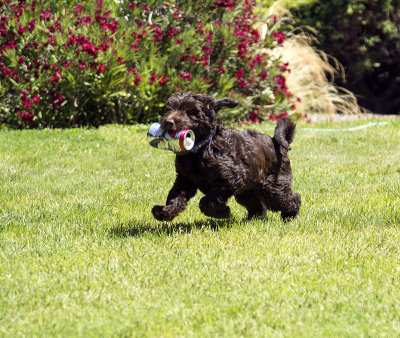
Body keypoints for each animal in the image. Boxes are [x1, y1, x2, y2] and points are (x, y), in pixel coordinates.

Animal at [152, 92, 302, 222]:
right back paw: (253, 219)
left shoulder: (232, 178)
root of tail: (276, 142)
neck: (203, 148)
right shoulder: (185, 179)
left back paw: (289, 217)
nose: (168, 122)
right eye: (170, 108)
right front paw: (165, 211)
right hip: (247, 191)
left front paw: (222, 212)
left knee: (291, 198)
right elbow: (175, 195)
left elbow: (208, 200)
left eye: (191, 111)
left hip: (272, 187)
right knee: (257, 204)